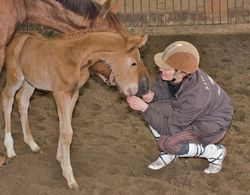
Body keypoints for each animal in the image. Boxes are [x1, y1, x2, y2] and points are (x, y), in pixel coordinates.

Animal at [2, 30, 148, 189]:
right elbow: (67, 133)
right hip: (15, 78)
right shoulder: (60, 93)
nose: (139, 89)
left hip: (31, 81)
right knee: (7, 99)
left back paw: (32, 144)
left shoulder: (74, 93)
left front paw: (61, 160)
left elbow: (64, 128)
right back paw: (10, 148)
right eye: (133, 63)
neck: (76, 58)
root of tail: (19, 37)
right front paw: (70, 178)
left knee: (22, 101)